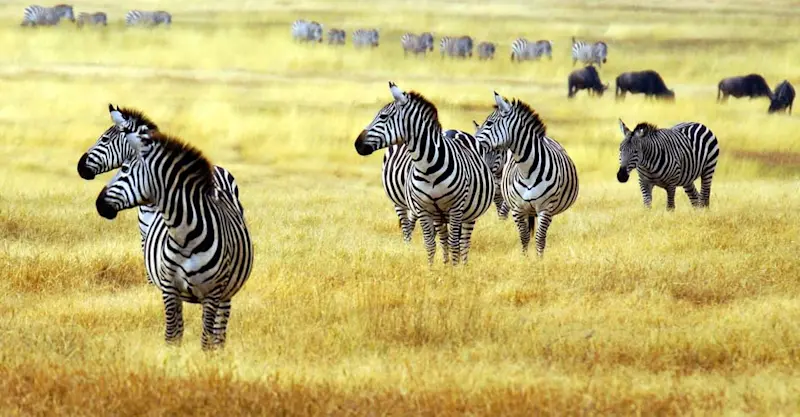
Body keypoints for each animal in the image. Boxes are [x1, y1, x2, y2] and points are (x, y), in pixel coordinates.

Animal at [95, 125, 254, 351]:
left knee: (219, 332)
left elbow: (206, 339)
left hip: (226, 293)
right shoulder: (169, 288)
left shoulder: (212, 293)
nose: (98, 204)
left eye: (125, 170)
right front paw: (171, 359)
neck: (185, 236)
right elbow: (172, 335)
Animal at [355, 82, 494, 265]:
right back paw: (444, 262)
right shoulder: (424, 209)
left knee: (463, 242)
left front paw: (454, 270)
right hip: (416, 208)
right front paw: (432, 269)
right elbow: (430, 243)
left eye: (383, 117)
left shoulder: (456, 208)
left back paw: (462, 266)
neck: (428, 168)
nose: (357, 144)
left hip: (468, 213)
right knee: (433, 235)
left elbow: (454, 244)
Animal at [475, 92, 579, 257]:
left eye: (490, 123)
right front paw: (524, 258)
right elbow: (524, 236)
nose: (472, 139)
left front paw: (539, 260)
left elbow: (540, 238)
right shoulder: (517, 209)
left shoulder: (545, 208)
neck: (526, 171)